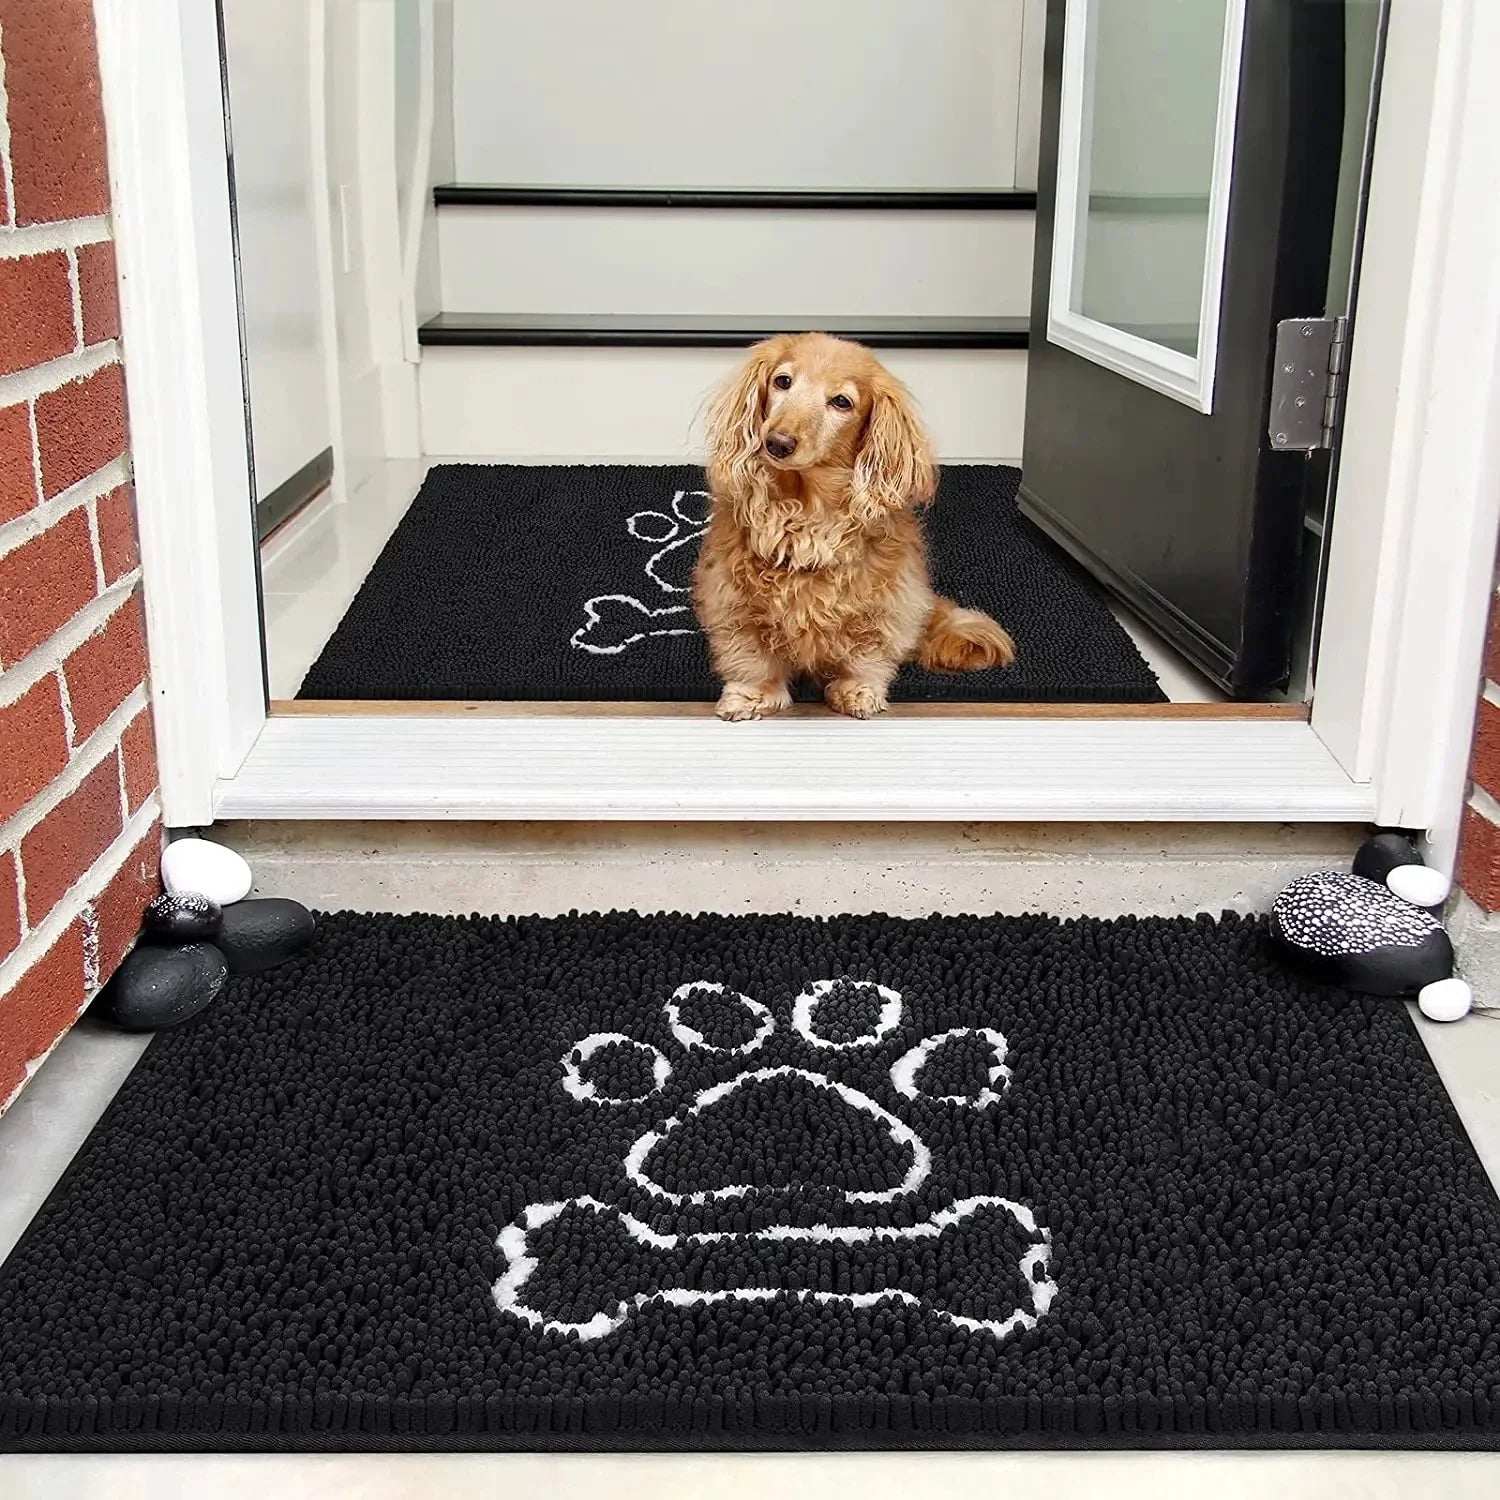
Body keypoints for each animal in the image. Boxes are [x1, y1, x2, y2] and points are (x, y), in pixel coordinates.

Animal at [696, 334, 1014, 720]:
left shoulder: (885, 603)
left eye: (841, 402)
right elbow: (752, 657)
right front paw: (753, 695)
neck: (805, 510)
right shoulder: (733, 600)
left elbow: (866, 653)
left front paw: (856, 691)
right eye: (783, 381)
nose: (778, 442)